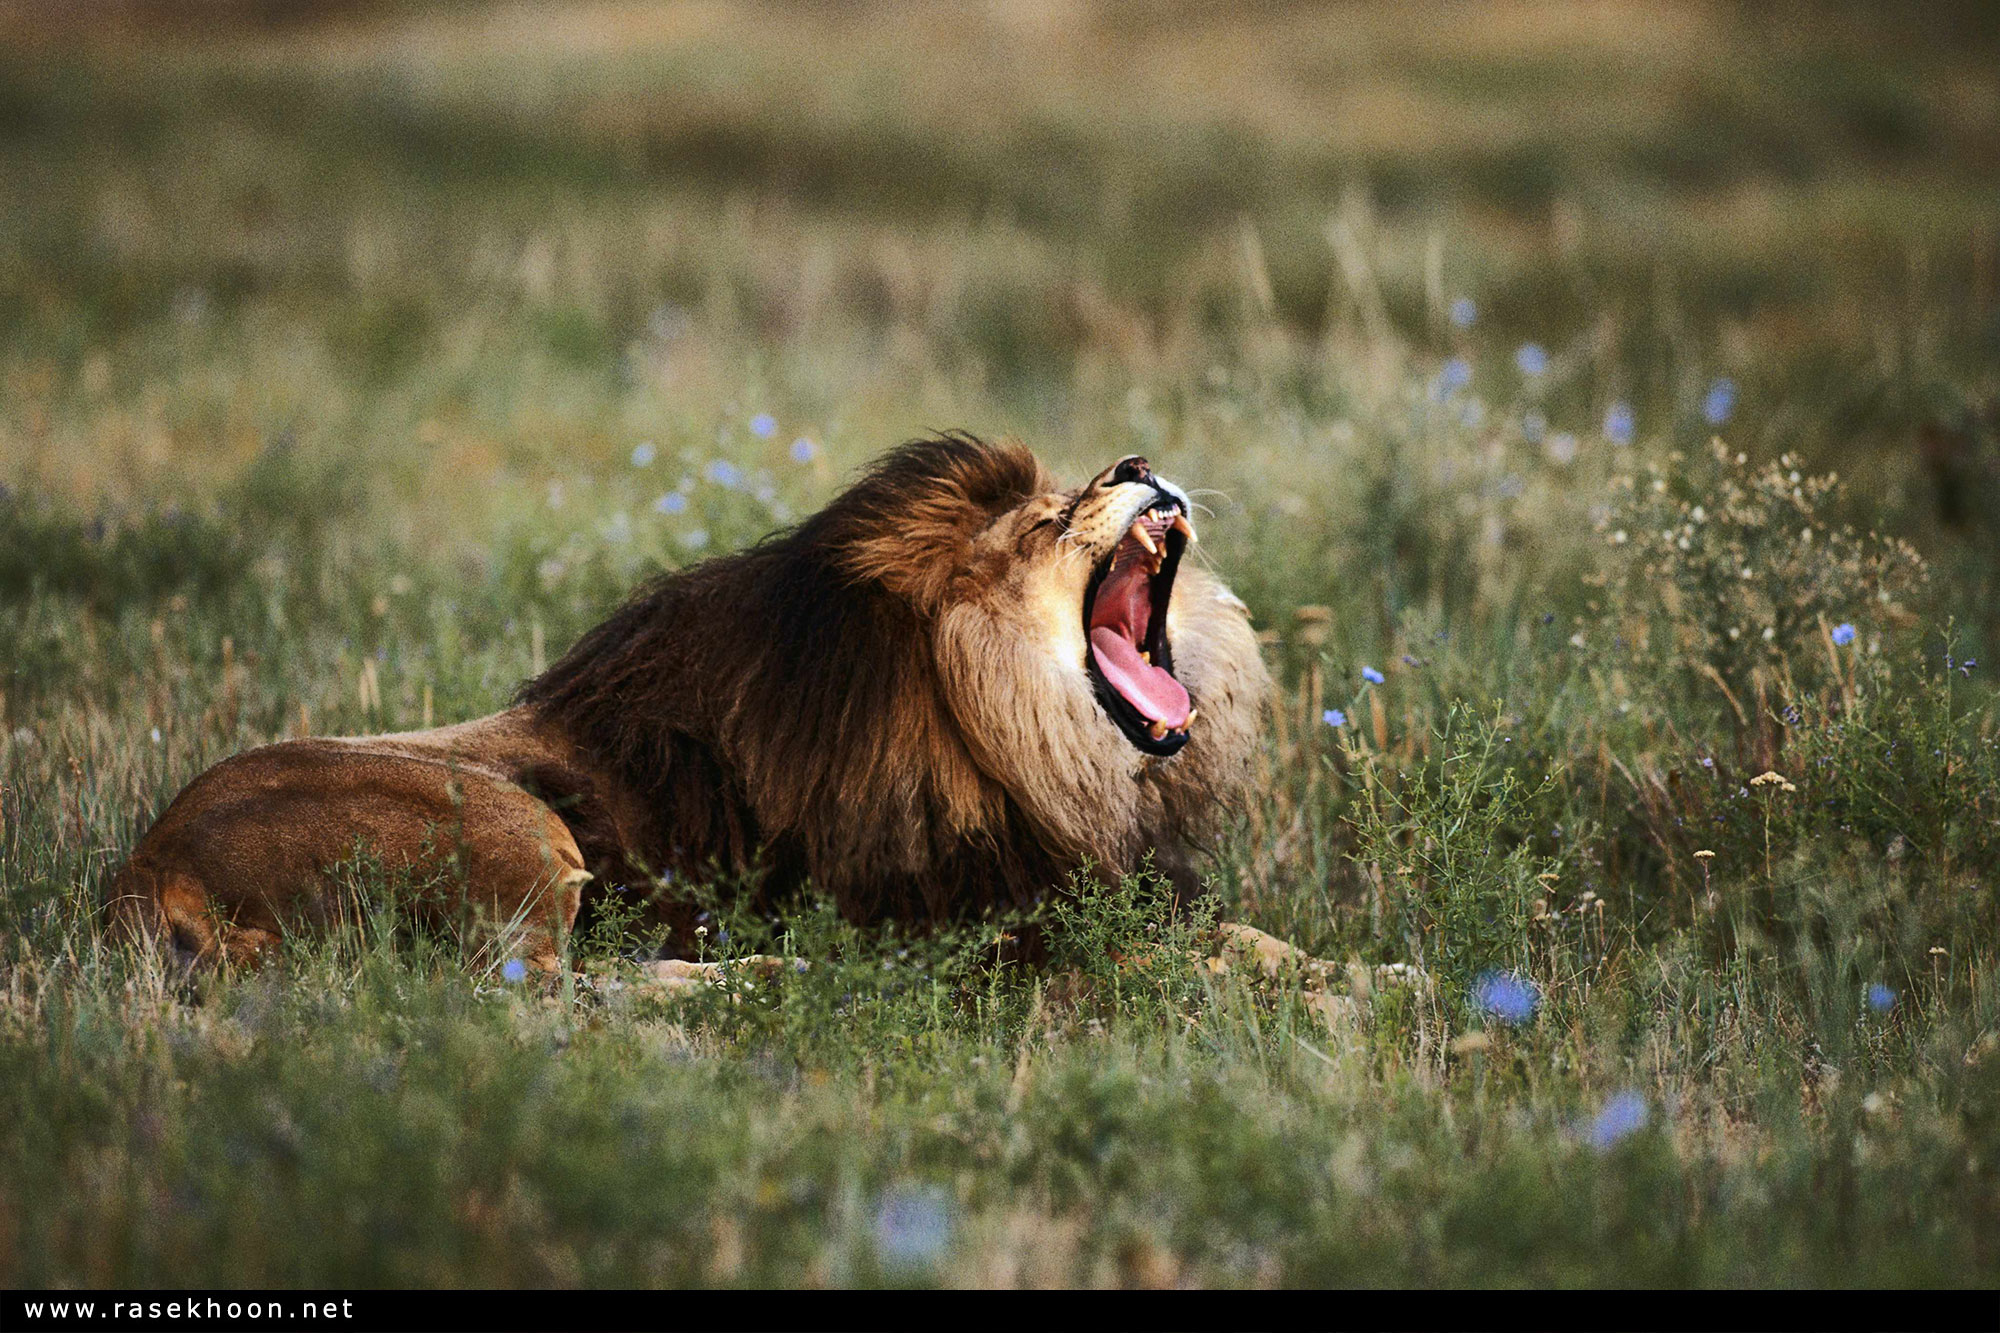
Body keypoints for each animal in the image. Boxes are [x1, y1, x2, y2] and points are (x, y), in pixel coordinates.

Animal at [117, 436, 1288, 976]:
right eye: (1049, 519)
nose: (1138, 459)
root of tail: (146, 868)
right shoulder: (990, 917)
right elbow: (1166, 957)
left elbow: (1248, 932)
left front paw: (1325, 968)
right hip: (510, 825)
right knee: (539, 993)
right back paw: (765, 974)